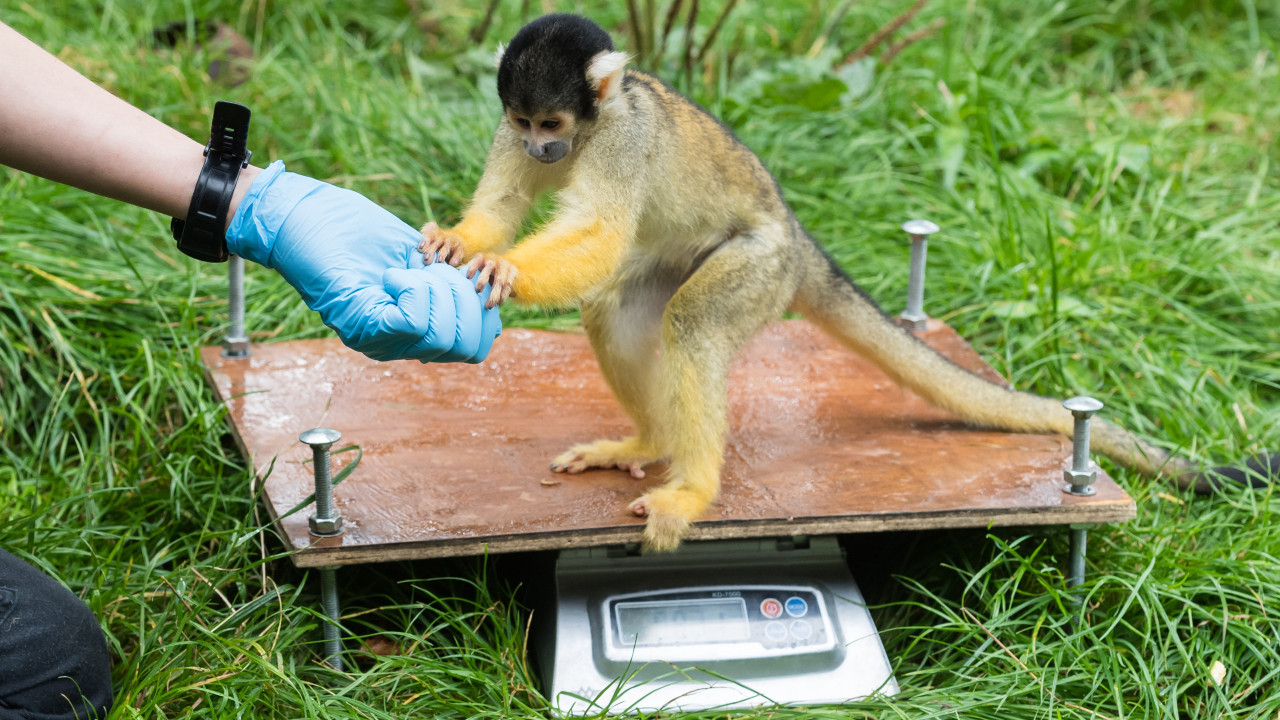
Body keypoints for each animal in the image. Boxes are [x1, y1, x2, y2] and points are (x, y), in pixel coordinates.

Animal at [424, 12, 1274, 548]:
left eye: (553, 125)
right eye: (525, 124)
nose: (540, 151)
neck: (591, 128)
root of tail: (797, 239)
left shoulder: (622, 137)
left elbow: (601, 229)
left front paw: (502, 267)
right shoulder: (504, 129)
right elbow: (503, 206)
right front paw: (459, 242)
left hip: (757, 266)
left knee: (692, 322)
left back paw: (692, 488)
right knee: (615, 310)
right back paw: (650, 439)